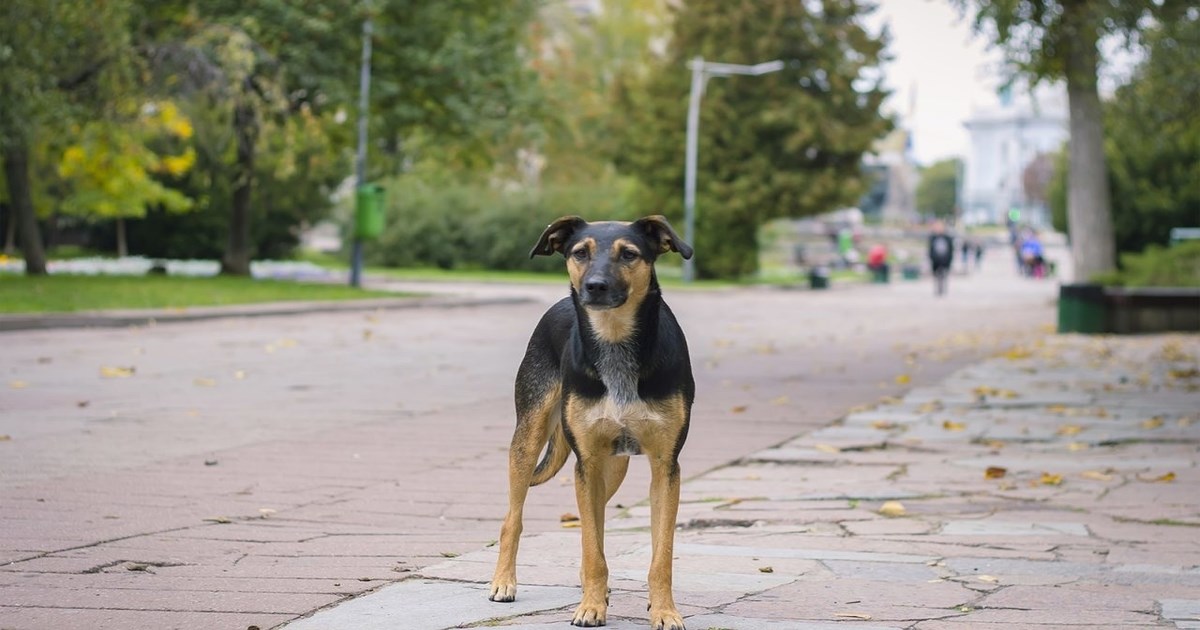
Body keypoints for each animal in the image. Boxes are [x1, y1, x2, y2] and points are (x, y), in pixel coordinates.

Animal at [487, 213, 696, 624]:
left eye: (629, 254)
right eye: (580, 253)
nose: (595, 286)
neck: (615, 342)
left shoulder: (666, 466)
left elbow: (660, 554)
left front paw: (664, 610)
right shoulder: (585, 462)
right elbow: (591, 547)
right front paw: (591, 607)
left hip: (612, 467)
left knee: (594, 525)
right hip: (531, 439)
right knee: (513, 519)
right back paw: (504, 582)